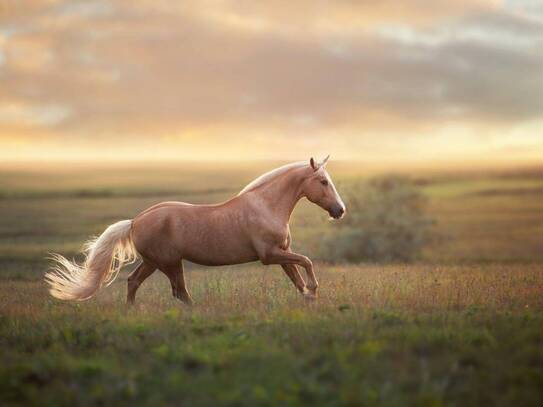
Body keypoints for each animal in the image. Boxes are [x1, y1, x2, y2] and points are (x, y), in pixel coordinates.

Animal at [45, 156, 344, 306]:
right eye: (323, 181)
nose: (339, 210)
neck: (266, 206)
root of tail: (136, 221)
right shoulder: (270, 255)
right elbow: (307, 262)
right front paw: (314, 291)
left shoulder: (282, 252)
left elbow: (296, 277)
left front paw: (309, 298)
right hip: (169, 263)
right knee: (179, 292)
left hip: (153, 262)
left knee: (134, 282)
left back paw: (132, 311)